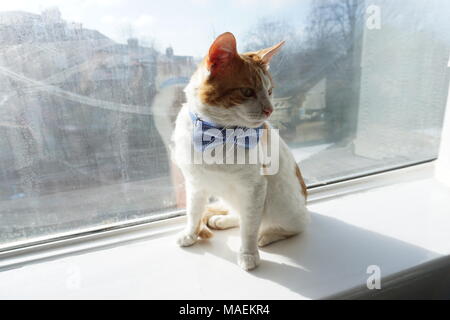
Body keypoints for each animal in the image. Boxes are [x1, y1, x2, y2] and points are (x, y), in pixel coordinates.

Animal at [170, 31, 310, 270]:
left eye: (270, 91)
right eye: (247, 92)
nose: (270, 109)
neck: (217, 135)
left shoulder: (255, 188)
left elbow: (250, 227)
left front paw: (248, 253)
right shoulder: (196, 183)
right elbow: (193, 212)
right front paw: (190, 234)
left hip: (282, 206)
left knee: (287, 226)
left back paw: (267, 236)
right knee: (239, 214)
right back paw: (222, 220)